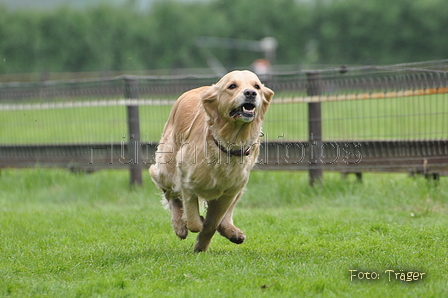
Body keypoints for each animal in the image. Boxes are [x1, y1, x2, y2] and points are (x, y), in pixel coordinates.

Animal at [150, 70, 272, 251]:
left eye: (256, 86)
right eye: (232, 86)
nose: (251, 93)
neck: (227, 144)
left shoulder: (229, 192)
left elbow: (212, 224)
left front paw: (201, 246)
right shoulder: (187, 183)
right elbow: (194, 222)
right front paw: (192, 223)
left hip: (240, 186)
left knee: (225, 215)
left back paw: (232, 231)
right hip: (167, 169)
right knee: (170, 195)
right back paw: (179, 226)